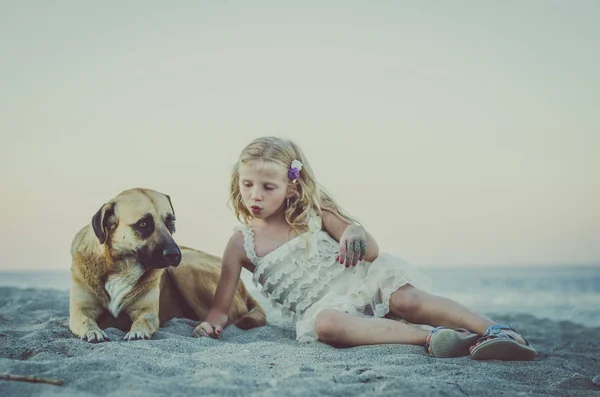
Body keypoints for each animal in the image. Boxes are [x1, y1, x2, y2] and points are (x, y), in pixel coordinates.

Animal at [68, 188, 264, 340]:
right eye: (143, 224)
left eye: (171, 222)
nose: (173, 254)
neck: (123, 266)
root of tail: (244, 287)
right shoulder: (80, 310)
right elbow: (86, 320)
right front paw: (93, 331)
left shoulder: (146, 311)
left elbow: (143, 320)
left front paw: (137, 332)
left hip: (185, 266)